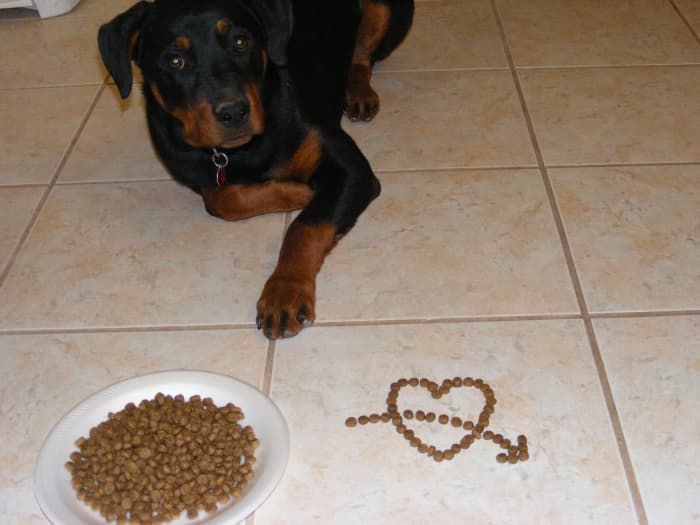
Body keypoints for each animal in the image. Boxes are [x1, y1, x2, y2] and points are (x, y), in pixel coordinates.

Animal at [99, 0, 416, 340]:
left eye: (241, 42)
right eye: (175, 60)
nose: (234, 111)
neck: (240, 152)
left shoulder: (351, 168)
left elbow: (304, 227)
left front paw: (284, 294)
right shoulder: (195, 169)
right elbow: (221, 200)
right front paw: (298, 191)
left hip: (385, 11)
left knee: (361, 56)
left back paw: (358, 93)